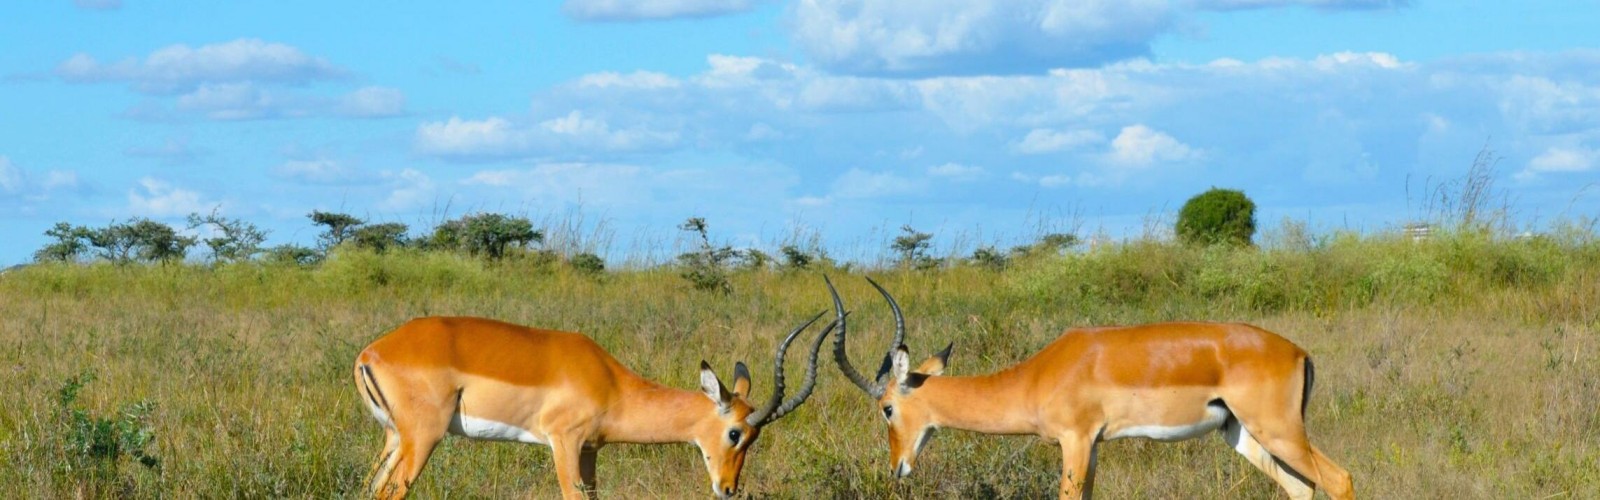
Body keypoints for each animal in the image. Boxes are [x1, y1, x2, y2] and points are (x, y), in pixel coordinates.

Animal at [353, 313, 837, 499]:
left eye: (755, 437)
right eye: (735, 433)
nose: (728, 488)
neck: (611, 384)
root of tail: (370, 353)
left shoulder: (589, 452)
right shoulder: (563, 443)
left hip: (394, 439)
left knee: (369, 488)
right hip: (423, 439)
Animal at [826, 276, 1354, 500]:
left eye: (886, 408)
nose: (897, 468)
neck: (1038, 375)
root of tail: (1298, 351)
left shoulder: (1076, 440)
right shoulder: (1094, 447)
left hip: (1279, 429)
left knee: (1339, 479)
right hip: (1242, 434)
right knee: (1301, 488)